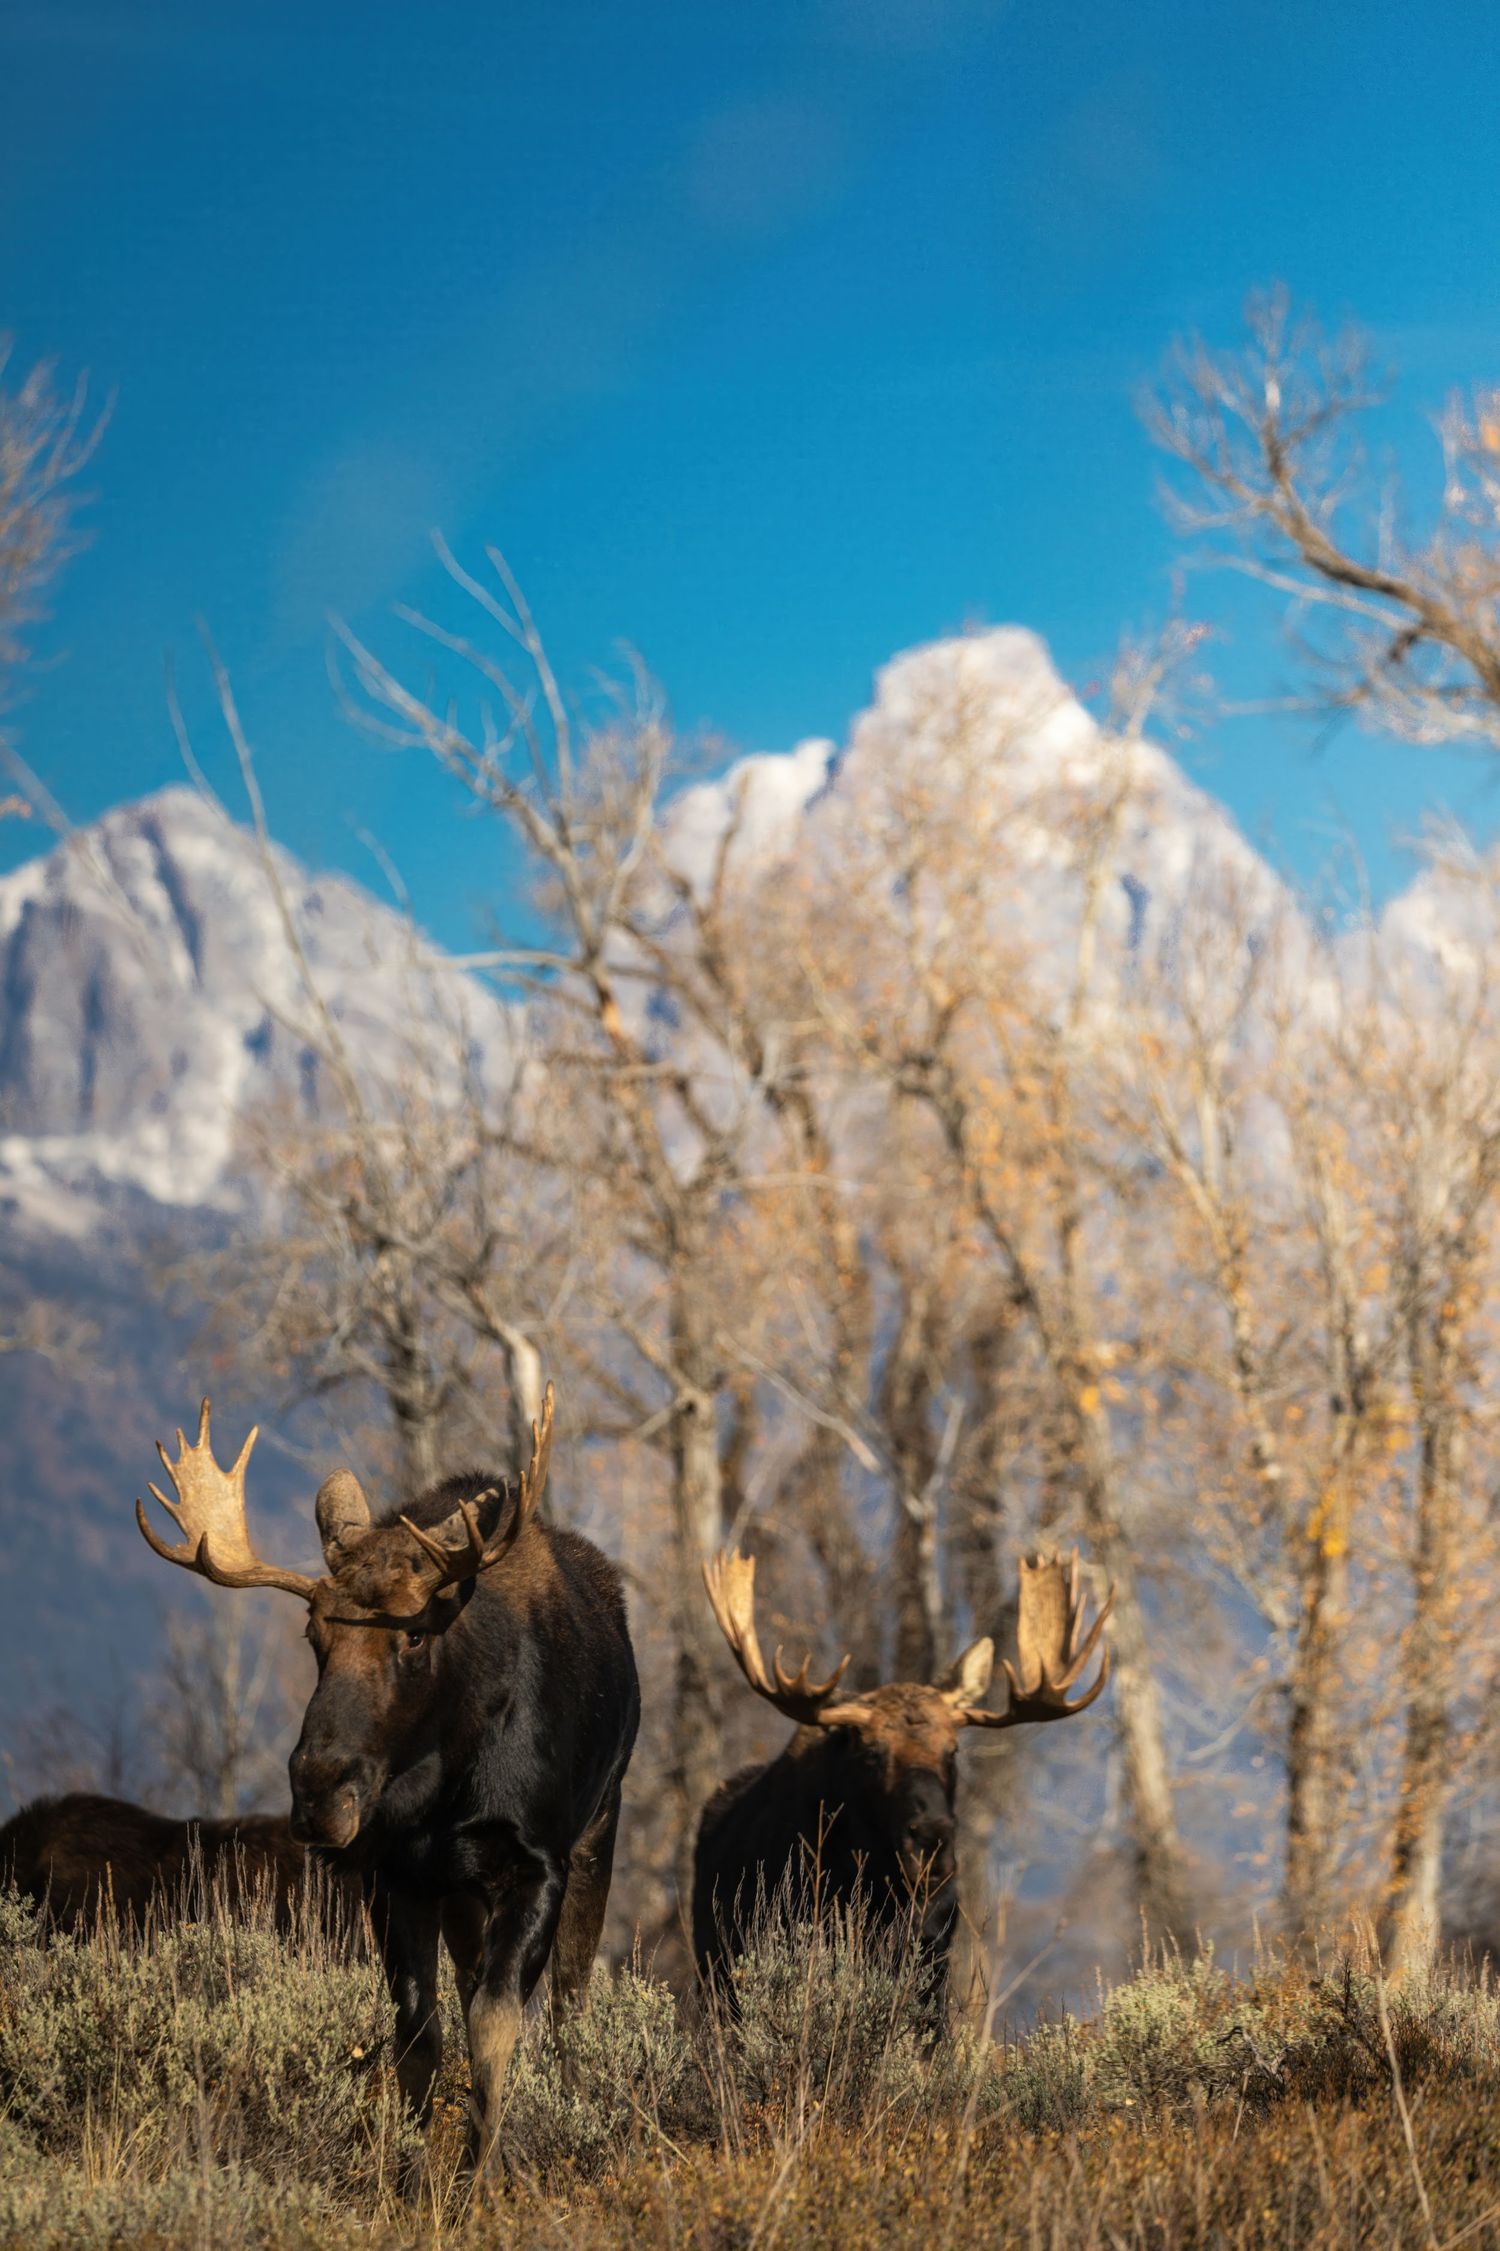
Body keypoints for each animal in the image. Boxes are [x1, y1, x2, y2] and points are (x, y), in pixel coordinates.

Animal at [134, 1387, 639, 2186]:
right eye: (314, 1635)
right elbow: (418, 2031)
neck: (449, 1785)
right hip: (460, 1888)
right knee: (470, 1981)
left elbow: (497, 2020)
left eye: (414, 1634)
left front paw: (482, 2177)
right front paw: (410, 2173)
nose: (319, 1791)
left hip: (602, 1821)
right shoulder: (397, 1873)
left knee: (570, 1999)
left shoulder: (539, 1861)